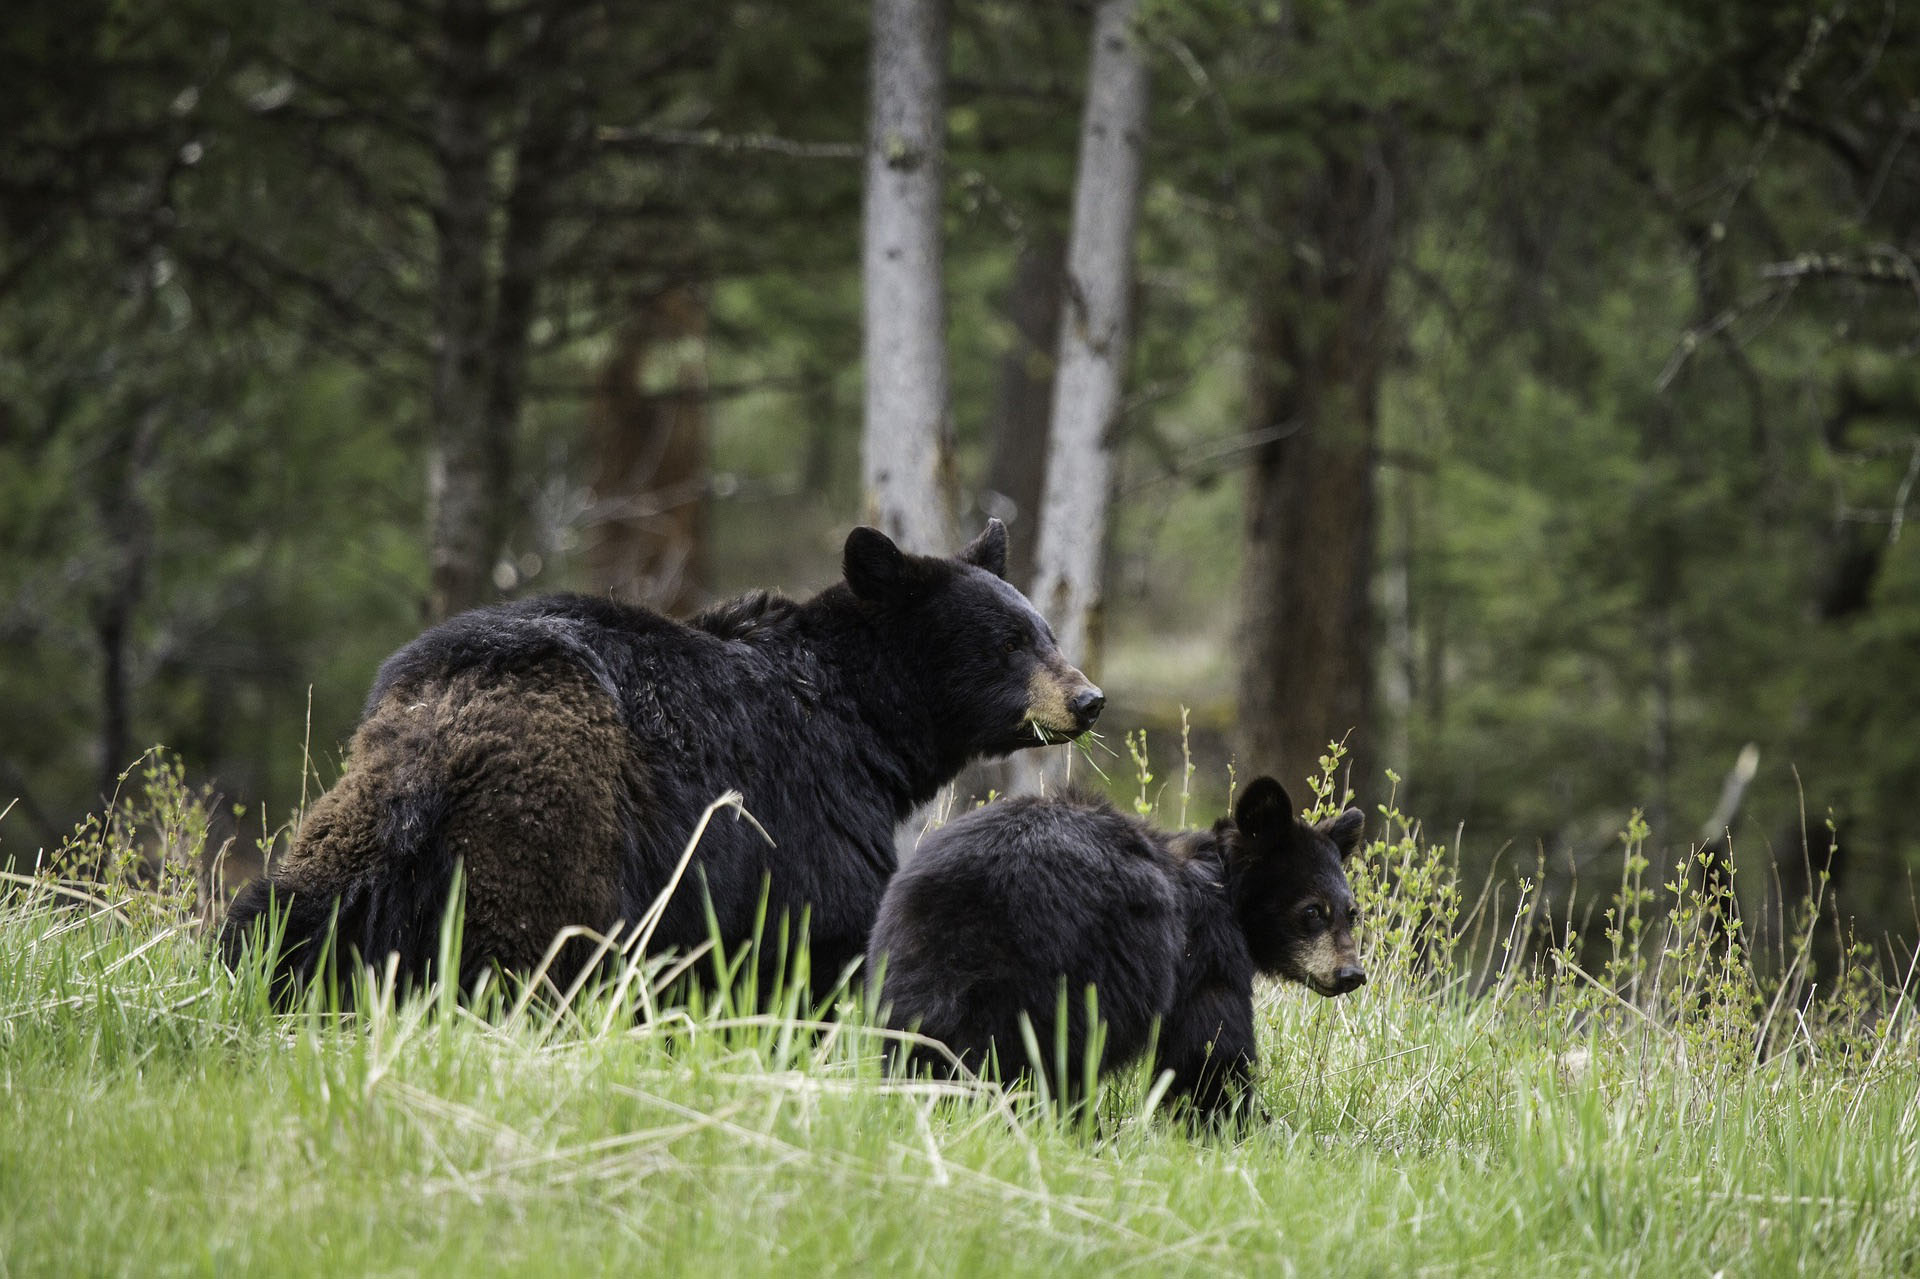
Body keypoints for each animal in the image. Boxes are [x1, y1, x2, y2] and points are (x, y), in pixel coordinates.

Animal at [217, 518, 1105, 998]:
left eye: (1046, 632)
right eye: (1008, 643)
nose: (1088, 699)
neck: (860, 718)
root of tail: (437, 735)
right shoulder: (804, 806)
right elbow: (825, 931)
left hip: (358, 826)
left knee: (285, 911)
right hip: (549, 831)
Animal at [864, 768, 1374, 1113]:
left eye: (1352, 913)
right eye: (1312, 911)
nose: (1351, 974)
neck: (1222, 883)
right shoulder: (1202, 951)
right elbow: (1209, 1047)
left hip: (910, 962)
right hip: (1063, 972)